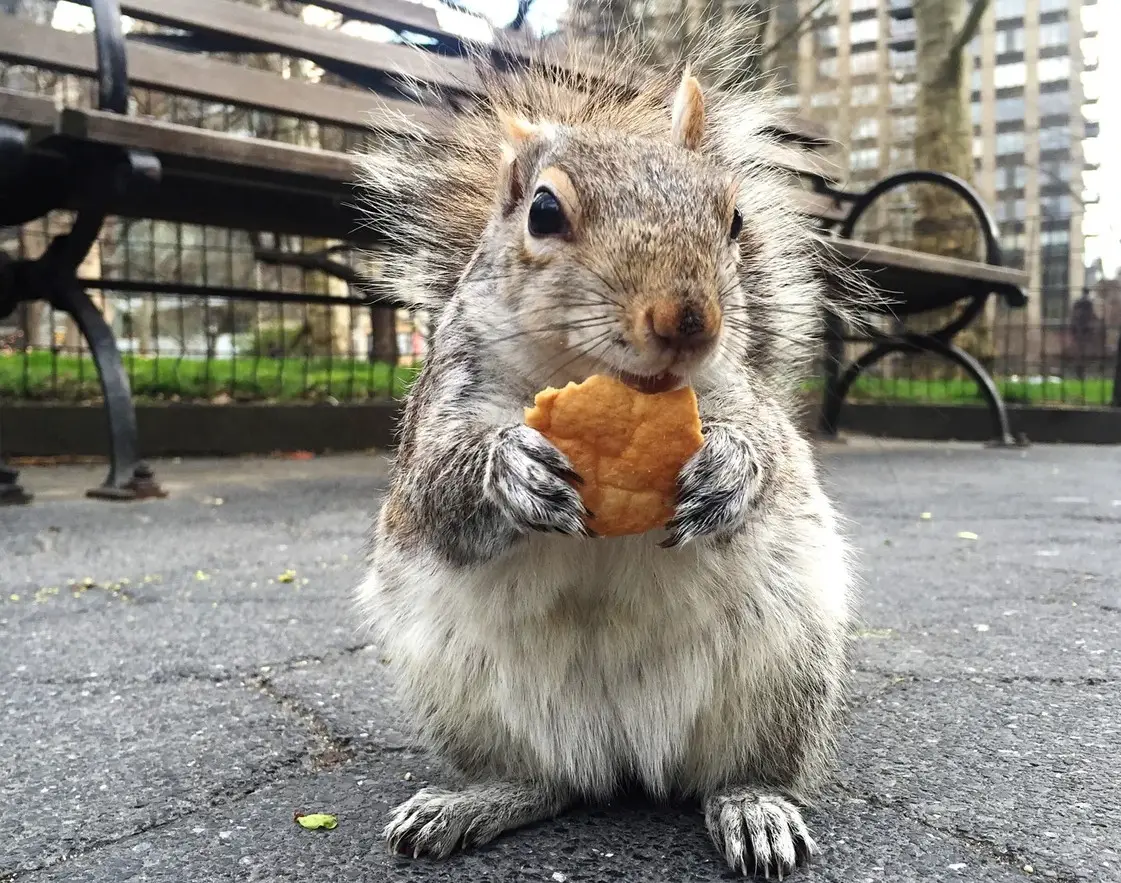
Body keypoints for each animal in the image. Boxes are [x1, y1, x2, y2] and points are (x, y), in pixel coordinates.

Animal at [355, 17, 857, 880]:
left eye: (733, 218)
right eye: (543, 211)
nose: (687, 319)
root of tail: (624, 754)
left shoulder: (745, 398)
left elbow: (769, 450)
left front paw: (726, 470)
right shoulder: (441, 405)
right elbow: (435, 494)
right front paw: (510, 471)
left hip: (784, 672)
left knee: (740, 770)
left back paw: (753, 806)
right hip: (458, 692)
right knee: (547, 783)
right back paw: (473, 800)